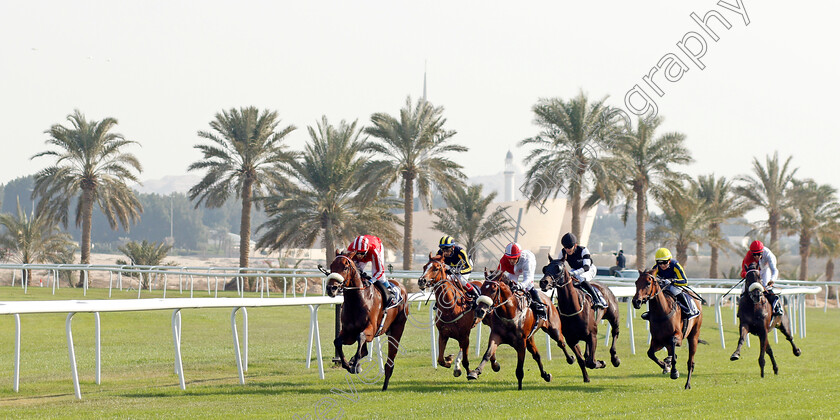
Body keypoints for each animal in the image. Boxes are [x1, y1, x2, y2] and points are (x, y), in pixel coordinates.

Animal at [326, 249, 408, 390]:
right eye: (331, 266)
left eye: (345, 267)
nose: (331, 288)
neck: (357, 300)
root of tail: (400, 286)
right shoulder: (348, 332)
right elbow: (337, 342)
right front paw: (348, 364)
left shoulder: (371, 329)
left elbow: (361, 337)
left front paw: (354, 364)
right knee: (363, 349)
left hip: (397, 329)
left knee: (390, 359)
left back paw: (385, 384)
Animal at [540, 256, 620, 384]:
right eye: (545, 268)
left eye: (558, 268)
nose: (543, 282)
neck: (572, 308)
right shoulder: (571, 339)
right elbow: (581, 360)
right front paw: (586, 378)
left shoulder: (593, 335)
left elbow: (592, 362)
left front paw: (601, 363)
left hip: (614, 317)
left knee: (615, 333)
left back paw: (615, 359)